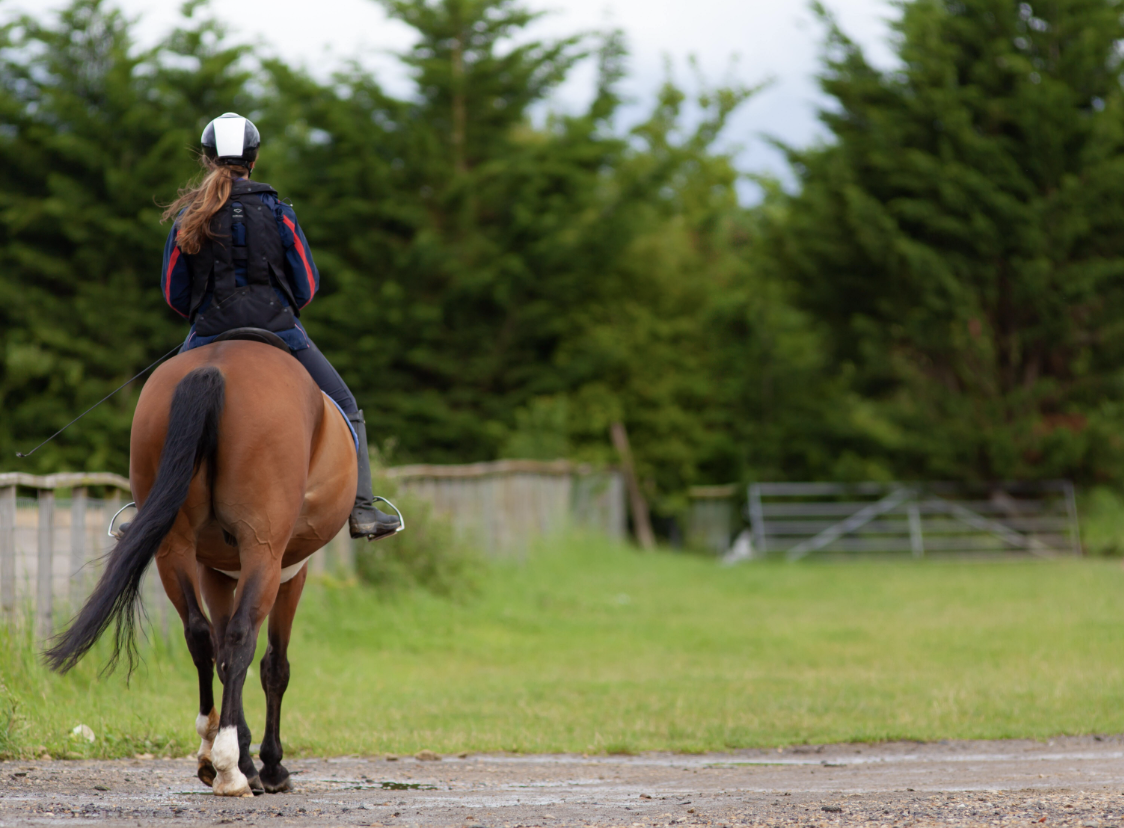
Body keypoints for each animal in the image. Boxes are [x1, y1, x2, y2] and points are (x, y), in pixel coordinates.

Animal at [43, 337, 357, 795]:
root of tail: (215, 367)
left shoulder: (215, 572)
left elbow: (224, 654)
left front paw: (247, 757)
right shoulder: (290, 570)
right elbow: (273, 666)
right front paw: (269, 765)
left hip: (173, 548)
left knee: (200, 635)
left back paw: (213, 749)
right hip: (262, 550)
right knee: (242, 638)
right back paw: (229, 765)